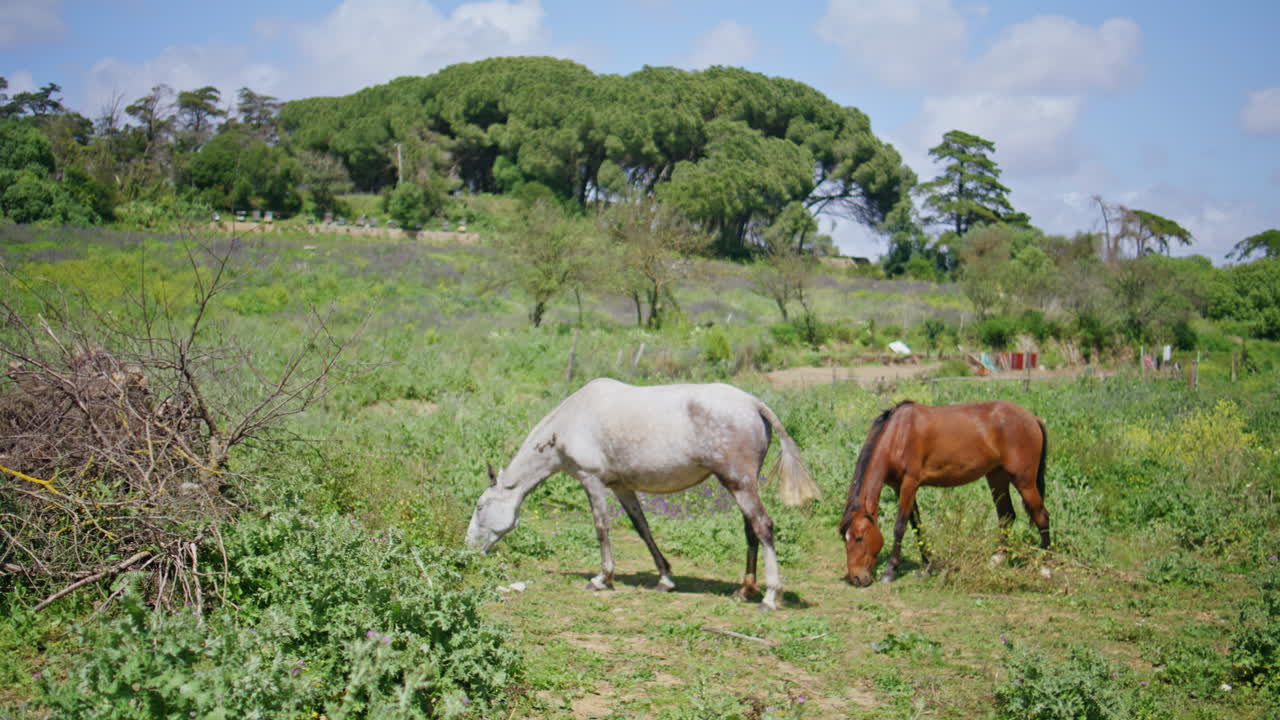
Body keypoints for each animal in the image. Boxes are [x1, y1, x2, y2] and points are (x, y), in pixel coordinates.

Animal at [465, 378, 821, 610]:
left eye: (480, 506)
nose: (468, 549)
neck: (568, 423)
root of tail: (753, 403)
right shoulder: (621, 486)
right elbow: (642, 527)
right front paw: (665, 578)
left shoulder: (591, 480)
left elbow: (601, 527)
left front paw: (602, 578)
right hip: (743, 486)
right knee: (751, 530)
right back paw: (744, 591)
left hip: (739, 483)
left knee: (763, 526)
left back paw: (770, 596)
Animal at [838, 400, 1049, 586]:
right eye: (844, 538)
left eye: (859, 537)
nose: (857, 578)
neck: (898, 434)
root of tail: (1033, 418)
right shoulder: (900, 487)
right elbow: (917, 525)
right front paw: (929, 564)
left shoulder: (909, 484)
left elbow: (900, 526)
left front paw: (890, 571)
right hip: (997, 476)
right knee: (1006, 515)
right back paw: (997, 559)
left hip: (1024, 481)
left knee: (1041, 516)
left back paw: (1045, 567)